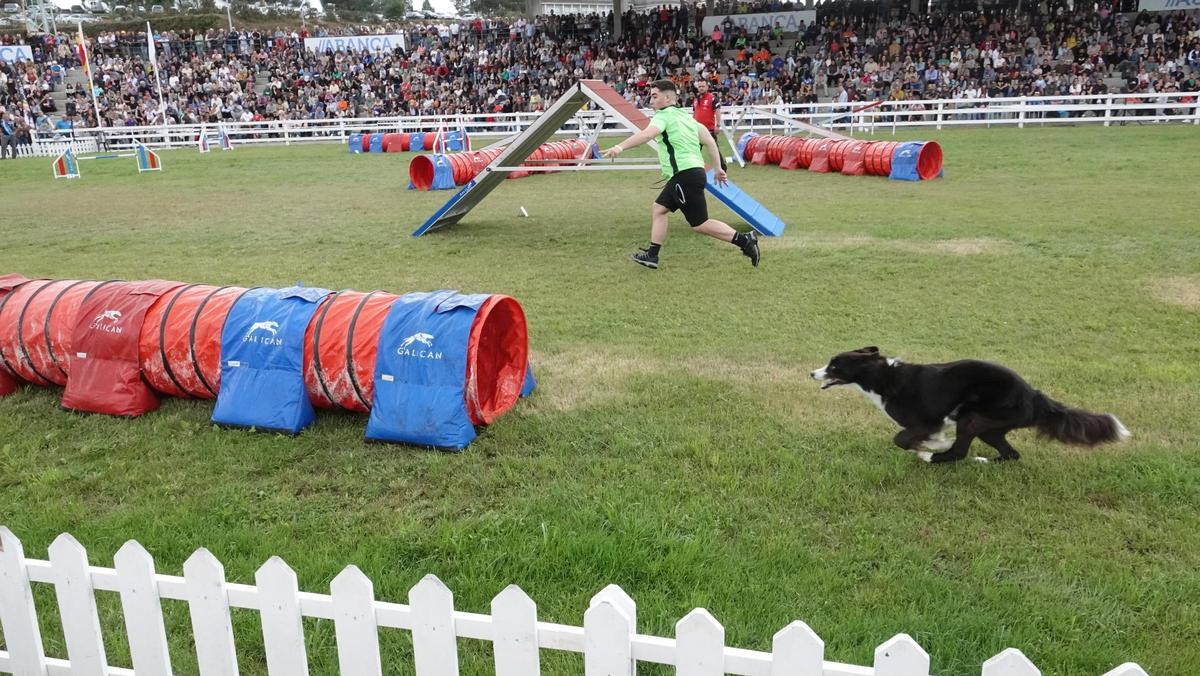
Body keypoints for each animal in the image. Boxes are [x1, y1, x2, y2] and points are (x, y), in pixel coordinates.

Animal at [811, 345, 1128, 463]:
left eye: (834, 366)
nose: (811, 373)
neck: (881, 377)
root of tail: (1033, 394)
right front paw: (928, 445)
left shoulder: (926, 420)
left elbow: (901, 438)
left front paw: (930, 447)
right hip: (990, 427)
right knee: (1011, 454)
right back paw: (985, 461)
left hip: (974, 416)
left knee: (959, 452)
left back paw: (933, 458)